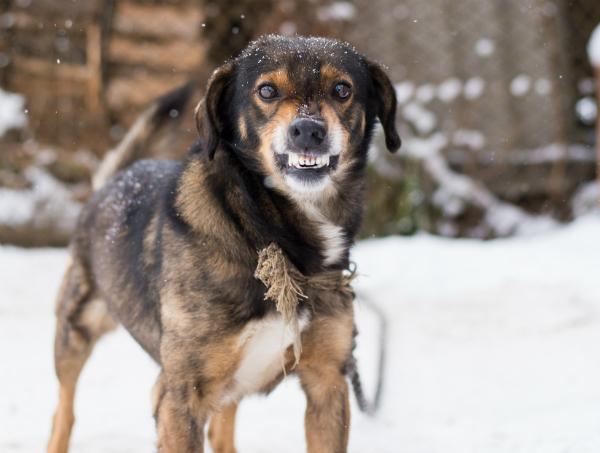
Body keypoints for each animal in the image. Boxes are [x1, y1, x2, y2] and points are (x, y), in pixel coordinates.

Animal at [48, 36, 398, 452]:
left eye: (342, 89)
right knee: (64, 411)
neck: (267, 240)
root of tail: (115, 180)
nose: (308, 130)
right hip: (75, 332)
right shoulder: (182, 395)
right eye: (267, 90)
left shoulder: (328, 381)